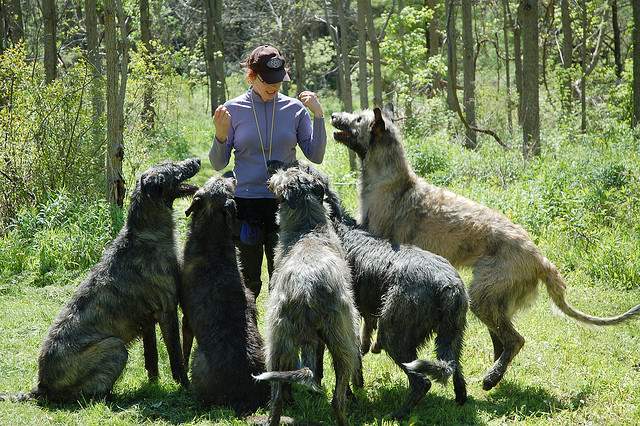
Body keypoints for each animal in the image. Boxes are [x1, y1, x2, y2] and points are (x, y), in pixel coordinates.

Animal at [0, 159, 200, 402]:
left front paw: (153, 386)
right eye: (173, 167)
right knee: (88, 395)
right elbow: (176, 356)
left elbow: (151, 358)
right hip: (115, 347)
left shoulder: (148, 320)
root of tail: (41, 387)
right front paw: (185, 386)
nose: (197, 161)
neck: (146, 235)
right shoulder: (167, 311)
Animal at [255, 166, 364, 426]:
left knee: (278, 398)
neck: (307, 230)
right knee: (337, 399)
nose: (273, 169)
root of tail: (306, 290)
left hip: (277, 344)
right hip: (343, 337)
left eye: (288, 170)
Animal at [332, 108, 640, 392]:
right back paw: (494, 375)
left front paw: (367, 344)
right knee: (502, 342)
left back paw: (491, 378)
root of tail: (540, 258)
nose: (334, 115)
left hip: (483, 296)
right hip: (493, 301)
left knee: (515, 340)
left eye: (358, 119)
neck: (391, 181)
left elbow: (369, 318)